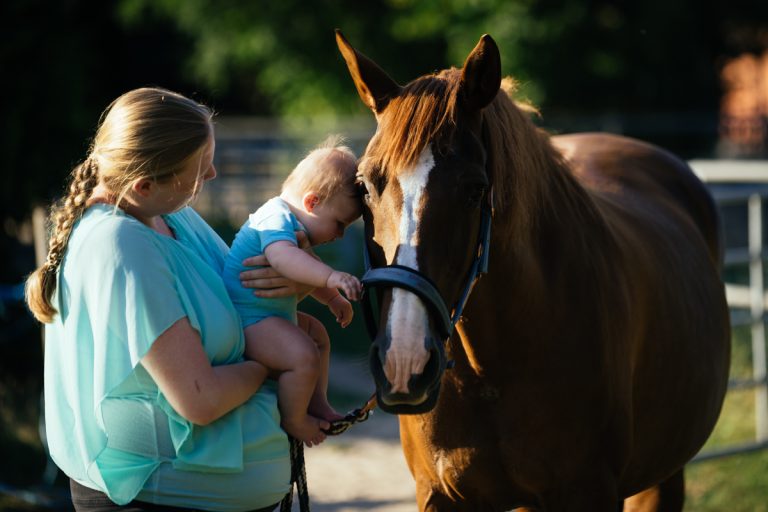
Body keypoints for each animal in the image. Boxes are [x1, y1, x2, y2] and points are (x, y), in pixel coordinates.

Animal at [335, 30, 731, 511]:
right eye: (363, 185)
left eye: (475, 189)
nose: (403, 361)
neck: (489, 370)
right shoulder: (437, 494)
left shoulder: (590, 491)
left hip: (664, 477)